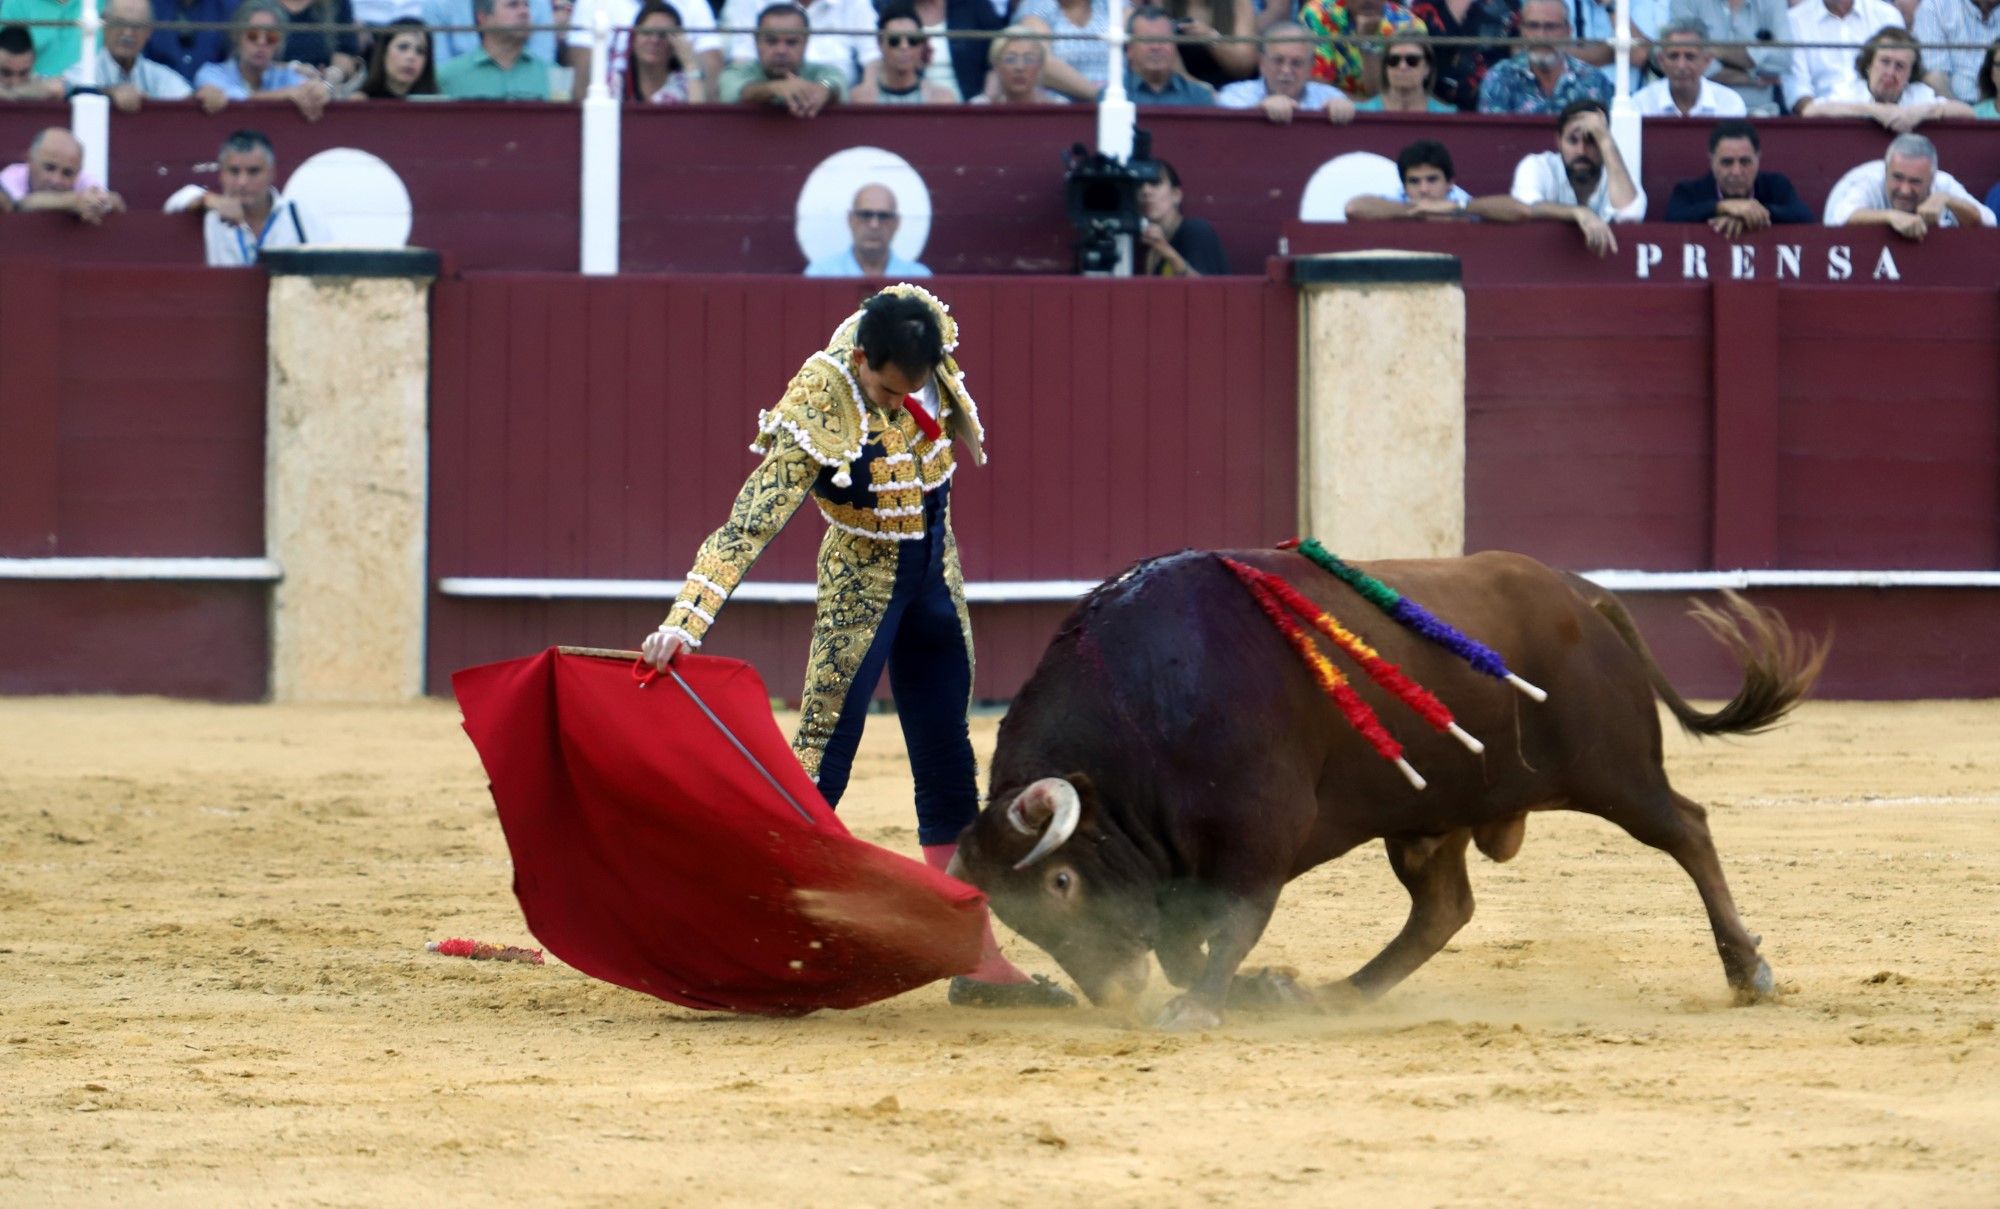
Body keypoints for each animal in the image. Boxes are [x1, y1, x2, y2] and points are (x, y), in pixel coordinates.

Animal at [952, 548, 1832, 1032]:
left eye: (1061, 881)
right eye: (1015, 915)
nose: (1114, 992)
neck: (1148, 704)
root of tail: (1580, 592)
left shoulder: (1259, 832)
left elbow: (1232, 922)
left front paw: (1203, 1004)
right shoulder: (1179, 864)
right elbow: (1184, 937)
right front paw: (1259, 988)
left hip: (1615, 770)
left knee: (1686, 827)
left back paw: (1748, 970)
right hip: (1430, 818)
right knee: (1442, 908)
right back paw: (1337, 995)